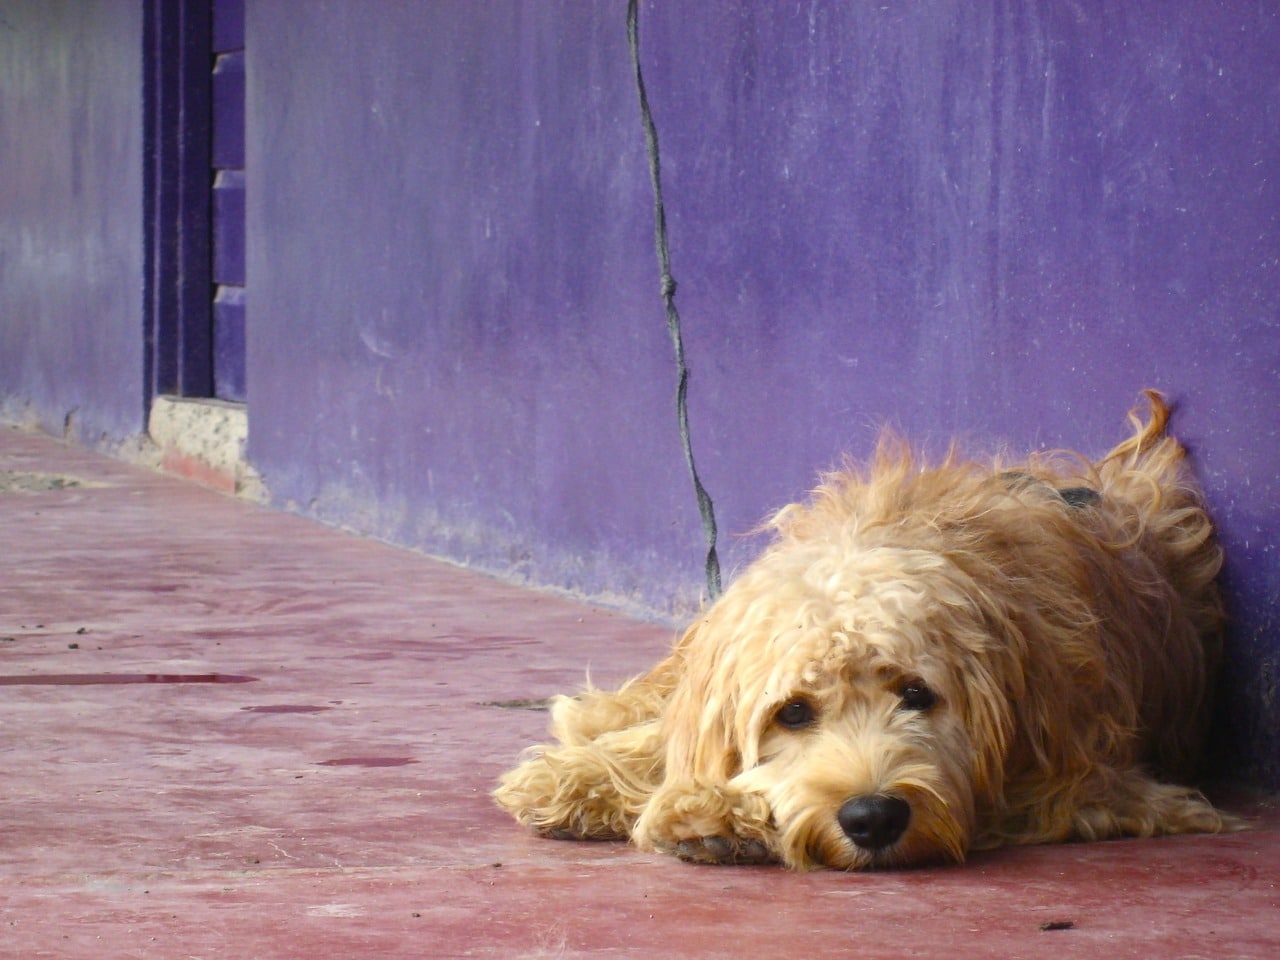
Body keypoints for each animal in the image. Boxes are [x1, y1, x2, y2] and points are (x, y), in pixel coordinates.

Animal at [491, 391, 1228, 870]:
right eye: (792, 712)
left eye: (917, 695)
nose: (873, 819)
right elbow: (669, 739)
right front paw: (585, 781)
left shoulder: (1090, 779)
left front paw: (718, 811)